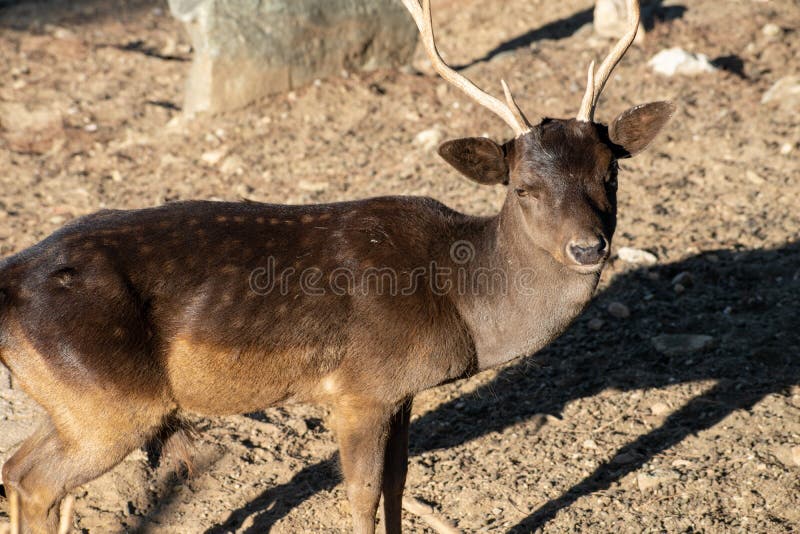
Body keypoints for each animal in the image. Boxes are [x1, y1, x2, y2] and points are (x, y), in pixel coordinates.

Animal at [0, 0, 676, 532]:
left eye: (611, 172)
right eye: (523, 187)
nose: (588, 247)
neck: (461, 302)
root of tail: (7, 283)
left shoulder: (400, 391)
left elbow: (399, 486)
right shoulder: (359, 389)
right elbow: (362, 495)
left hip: (72, 401)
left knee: (16, 465)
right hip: (111, 399)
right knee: (36, 480)